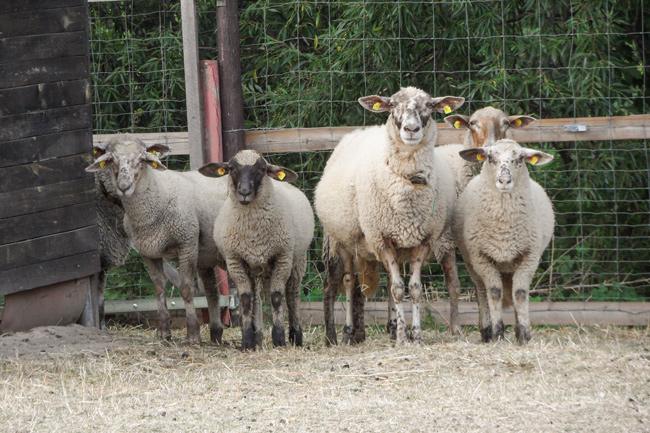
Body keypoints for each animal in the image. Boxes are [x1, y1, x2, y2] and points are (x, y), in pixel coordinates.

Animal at [85, 137, 229, 342]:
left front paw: (193, 334)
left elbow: (186, 289)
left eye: (142, 158)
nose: (124, 186)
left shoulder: (186, 243)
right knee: (212, 291)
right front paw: (164, 333)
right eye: (110, 159)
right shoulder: (147, 251)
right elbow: (159, 289)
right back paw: (216, 333)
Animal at [200, 150, 316, 350]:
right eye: (231, 168)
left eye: (262, 169)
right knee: (256, 297)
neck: (253, 231)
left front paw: (279, 339)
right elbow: (246, 299)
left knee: (292, 295)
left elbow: (277, 297)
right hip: (257, 267)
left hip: (298, 260)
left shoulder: (282, 256)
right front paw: (247, 341)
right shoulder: (235, 260)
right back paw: (257, 337)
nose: (244, 192)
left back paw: (295, 335)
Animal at [312, 86, 460, 344]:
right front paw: (402, 338)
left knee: (383, 282)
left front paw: (415, 336)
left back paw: (384, 328)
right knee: (347, 282)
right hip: (342, 241)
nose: (411, 129)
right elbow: (398, 289)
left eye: (430, 106)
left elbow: (413, 289)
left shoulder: (422, 240)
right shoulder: (382, 239)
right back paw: (345, 333)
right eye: (392, 105)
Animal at [450, 138, 552, 344]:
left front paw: (524, 334)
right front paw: (498, 333)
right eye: (489, 157)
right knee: (482, 292)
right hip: (471, 263)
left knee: (513, 291)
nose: (504, 181)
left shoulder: (530, 256)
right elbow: (494, 292)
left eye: (520, 158)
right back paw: (486, 331)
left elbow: (520, 293)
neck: (504, 229)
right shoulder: (481, 257)